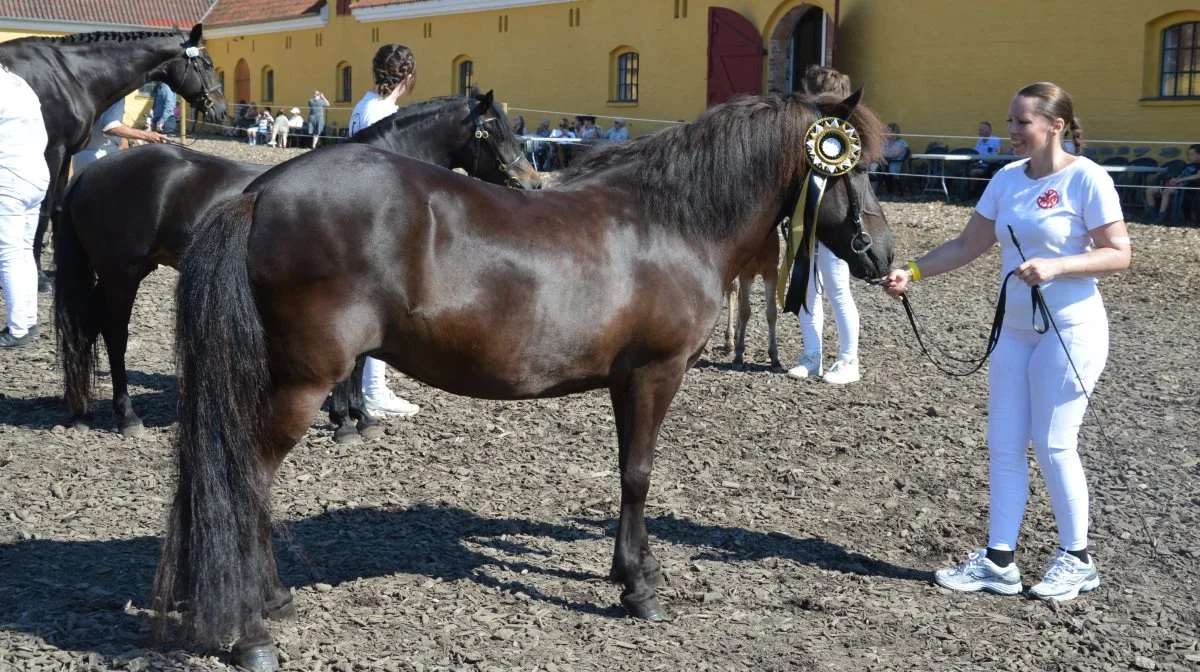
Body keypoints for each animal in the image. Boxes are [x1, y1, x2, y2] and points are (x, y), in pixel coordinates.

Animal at [55, 91, 535, 439]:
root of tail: (92, 173)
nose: (531, 181)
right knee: (114, 333)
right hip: (123, 274)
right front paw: (348, 421)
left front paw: (354, 416)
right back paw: (127, 416)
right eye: (491, 131)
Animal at [152, 90, 892, 672]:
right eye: (850, 163)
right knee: (245, 477)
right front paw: (640, 589)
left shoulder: (625, 380)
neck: (672, 220)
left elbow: (626, 471)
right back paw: (252, 632)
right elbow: (638, 476)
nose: (880, 255)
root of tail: (260, 195)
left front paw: (632, 570)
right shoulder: (655, 374)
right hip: (298, 386)